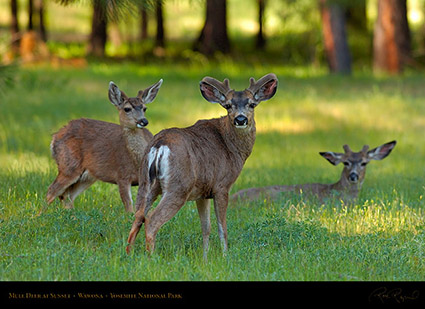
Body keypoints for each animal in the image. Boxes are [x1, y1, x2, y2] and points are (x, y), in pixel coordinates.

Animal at [46, 79, 162, 212]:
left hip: (87, 176)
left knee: (67, 195)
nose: (144, 121)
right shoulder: (121, 175)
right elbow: (128, 205)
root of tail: (55, 137)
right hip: (68, 165)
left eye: (144, 108)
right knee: (51, 191)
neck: (137, 163)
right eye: (127, 109)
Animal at [126, 73, 278, 258]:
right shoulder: (222, 185)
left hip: (146, 182)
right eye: (228, 105)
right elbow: (222, 227)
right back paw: (152, 258)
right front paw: (225, 255)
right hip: (179, 186)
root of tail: (159, 145)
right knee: (151, 220)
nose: (240, 119)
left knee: (138, 216)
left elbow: (206, 227)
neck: (232, 147)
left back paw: (129, 255)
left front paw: (205, 257)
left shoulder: (203, 192)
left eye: (252, 104)